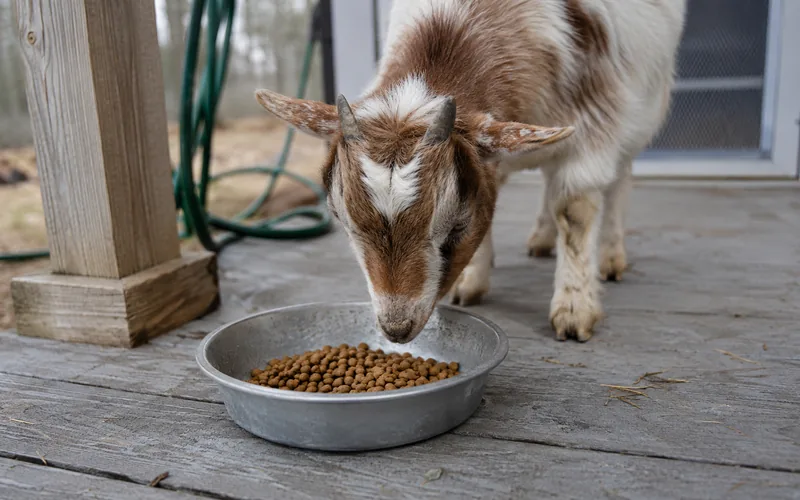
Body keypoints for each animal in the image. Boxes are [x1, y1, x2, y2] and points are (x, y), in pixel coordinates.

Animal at [255, 0, 687, 343]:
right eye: (344, 221)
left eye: (456, 227)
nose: (397, 328)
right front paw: (473, 282)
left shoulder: (595, 121)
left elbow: (575, 209)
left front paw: (574, 309)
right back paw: (542, 238)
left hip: (644, 108)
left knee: (618, 178)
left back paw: (611, 255)